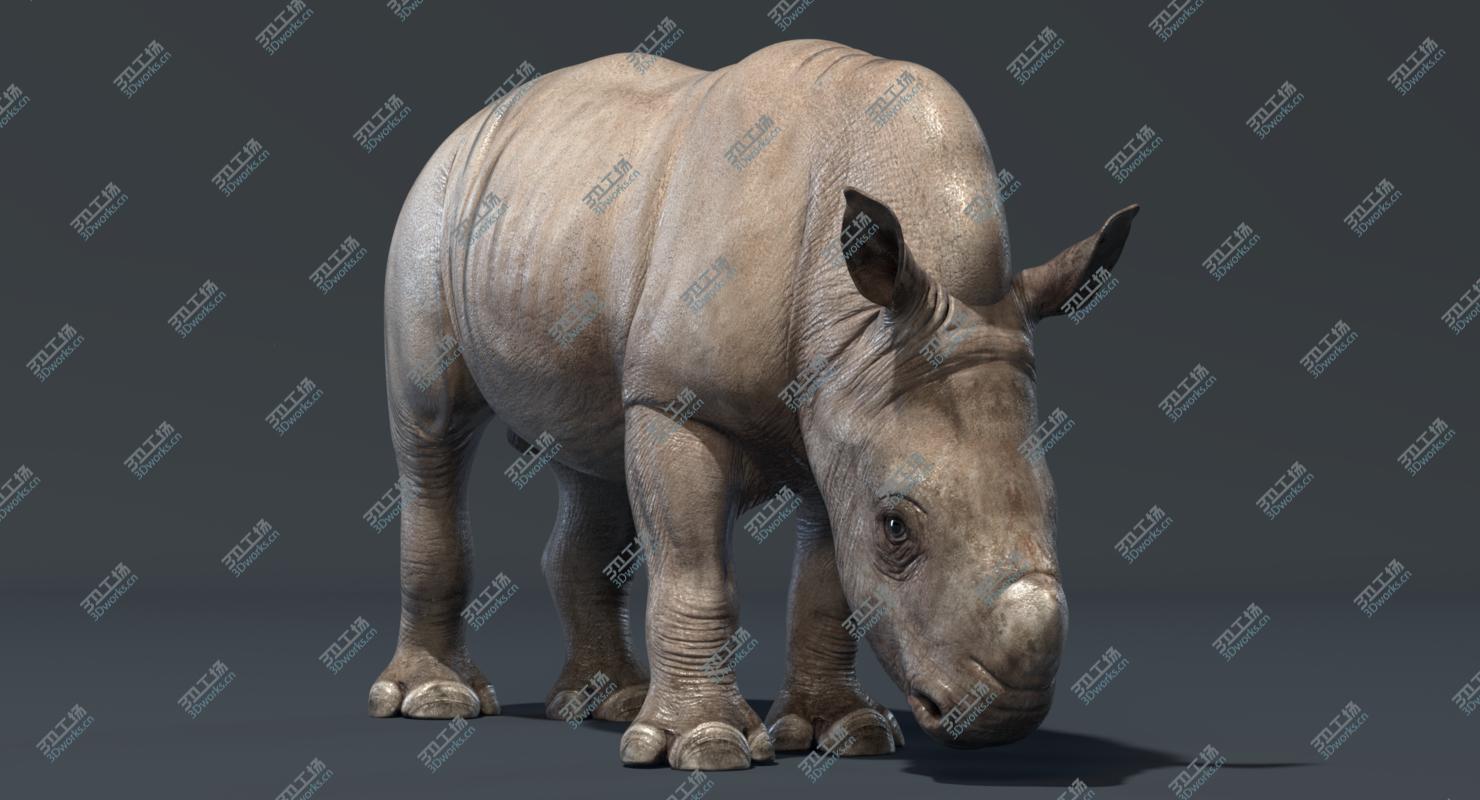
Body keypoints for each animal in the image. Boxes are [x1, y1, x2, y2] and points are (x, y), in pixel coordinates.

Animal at [371, 39, 1138, 771]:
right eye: (896, 527)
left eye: (1055, 508)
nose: (1007, 715)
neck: (861, 323)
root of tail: (479, 119)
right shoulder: (681, 400)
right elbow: (695, 572)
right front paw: (707, 744)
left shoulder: (844, 404)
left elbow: (828, 587)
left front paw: (844, 733)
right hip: (433, 210)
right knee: (433, 438)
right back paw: (436, 700)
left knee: (590, 462)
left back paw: (609, 701)